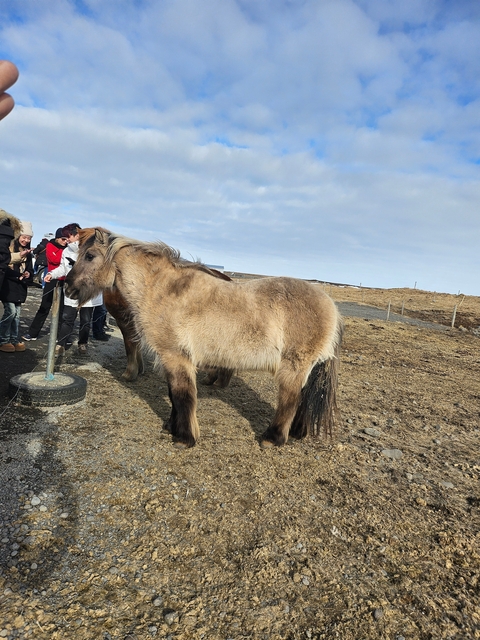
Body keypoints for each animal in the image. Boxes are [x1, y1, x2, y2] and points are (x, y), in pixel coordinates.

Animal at [65, 228, 343, 449]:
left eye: (89, 256)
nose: (68, 288)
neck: (163, 289)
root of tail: (330, 304)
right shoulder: (172, 359)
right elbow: (174, 395)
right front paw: (171, 427)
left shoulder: (176, 357)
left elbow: (183, 395)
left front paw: (184, 438)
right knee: (304, 400)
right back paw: (297, 433)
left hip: (293, 367)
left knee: (290, 401)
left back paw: (272, 438)